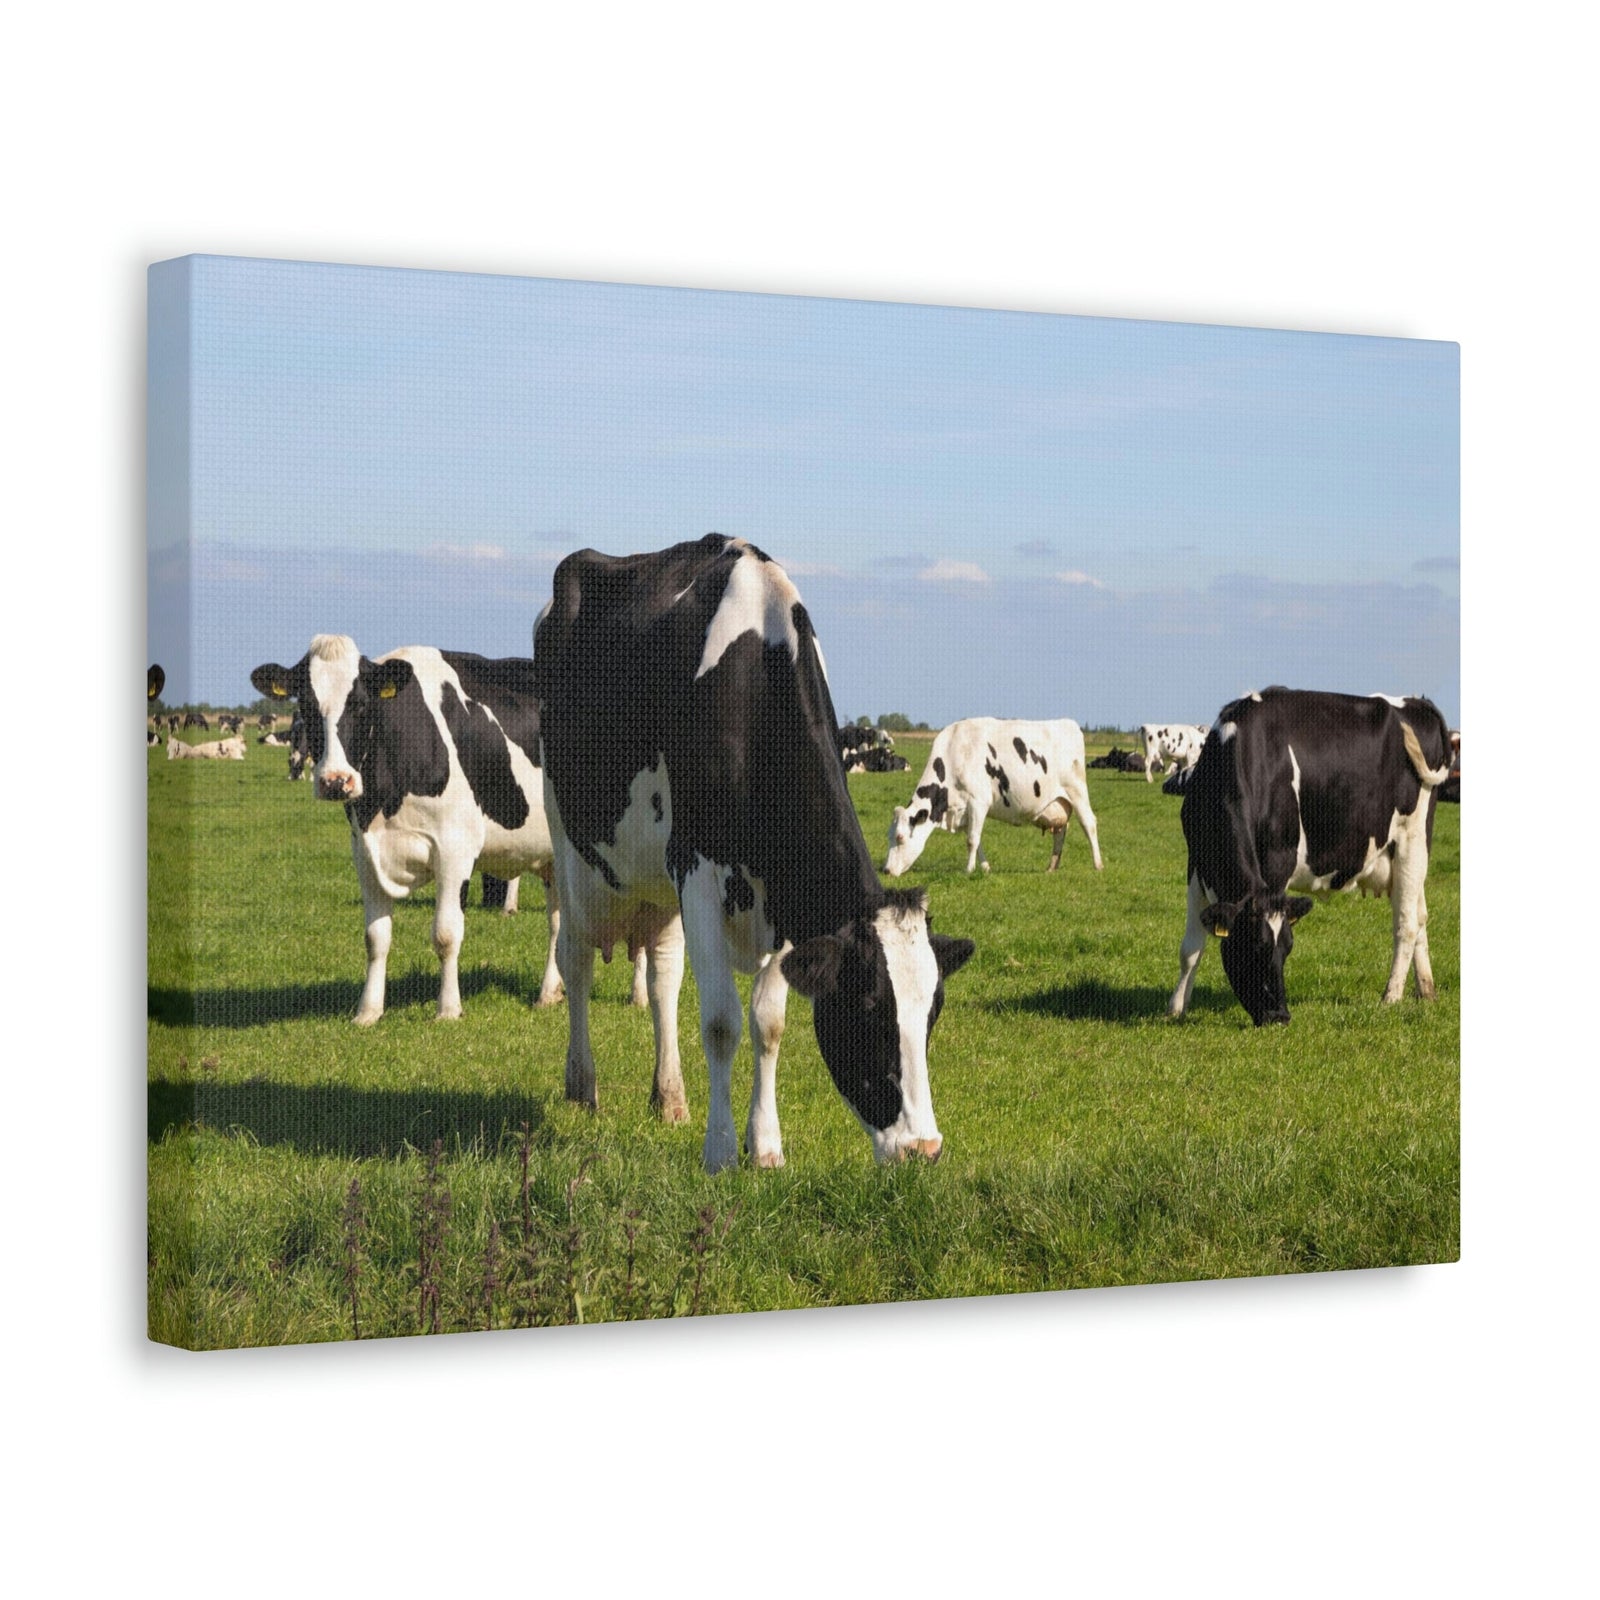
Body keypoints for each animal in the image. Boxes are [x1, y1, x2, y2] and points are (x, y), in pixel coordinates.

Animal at [250, 635, 573, 1023]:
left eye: (361, 705)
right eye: (306, 706)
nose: (335, 781)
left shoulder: (454, 849)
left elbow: (446, 934)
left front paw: (448, 1009)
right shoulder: (365, 853)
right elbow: (376, 937)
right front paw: (368, 1012)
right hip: (555, 857)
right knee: (559, 921)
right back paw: (549, 993)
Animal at [533, 534, 975, 1172]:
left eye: (933, 1011)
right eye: (868, 1007)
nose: (924, 1148)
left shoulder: (786, 894)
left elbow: (769, 1023)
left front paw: (765, 1146)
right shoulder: (696, 866)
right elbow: (721, 1021)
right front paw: (719, 1153)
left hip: (658, 886)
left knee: (663, 978)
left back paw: (669, 1097)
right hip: (570, 846)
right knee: (576, 957)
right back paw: (582, 1086)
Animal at [884, 717, 1104, 877]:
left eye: (900, 837)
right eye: (889, 836)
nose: (886, 871)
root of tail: (1068, 723)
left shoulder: (978, 801)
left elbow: (972, 840)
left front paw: (968, 870)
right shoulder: (966, 810)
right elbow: (976, 839)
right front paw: (985, 868)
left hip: (1077, 791)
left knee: (1089, 824)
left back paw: (1098, 864)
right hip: (1059, 803)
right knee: (1061, 829)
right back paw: (1052, 867)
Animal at [1168, 688, 1454, 1027]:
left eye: (1287, 949)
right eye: (1253, 947)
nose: (1279, 1016)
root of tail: (1416, 701)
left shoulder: (1278, 862)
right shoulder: (1196, 862)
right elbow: (1190, 948)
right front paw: (1176, 1008)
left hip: (1414, 839)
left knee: (1406, 922)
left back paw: (1391, 997)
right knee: (1420, 916)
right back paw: (1426, 991)